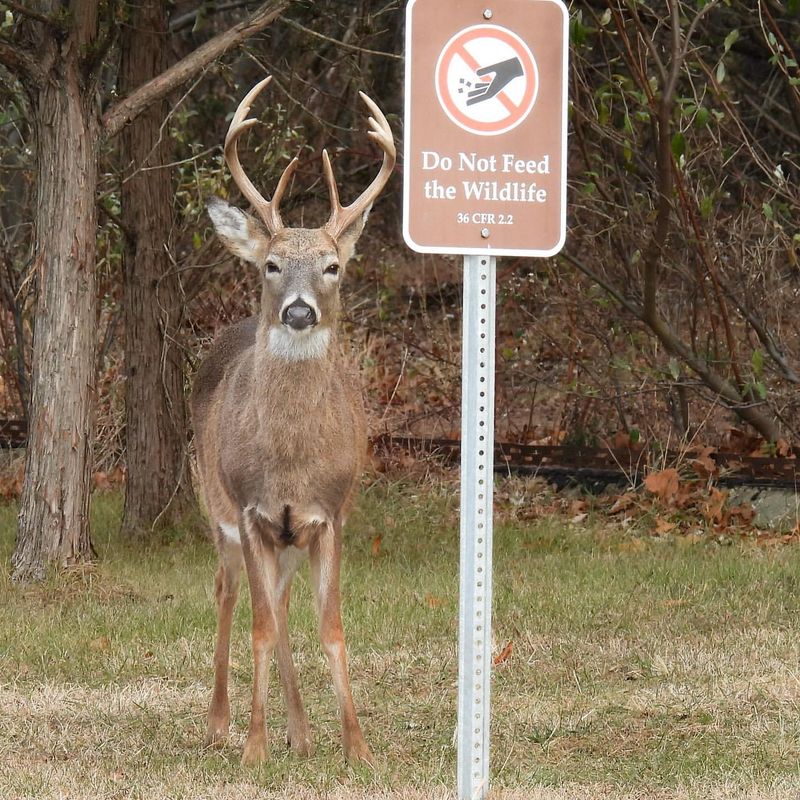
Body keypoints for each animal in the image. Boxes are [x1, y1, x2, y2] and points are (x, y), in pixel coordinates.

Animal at [191, 76, 394, 767]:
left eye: (333, 265)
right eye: (272, 264)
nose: (300, 311)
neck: (289, 462)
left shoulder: (329, 513)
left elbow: (330, 628)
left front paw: (357, 746)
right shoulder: (252, 510)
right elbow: (258, 626)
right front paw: (253, 748)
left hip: (284, 539)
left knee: (279, 604)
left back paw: (301, 732)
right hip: (214, 507)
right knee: (229, 594)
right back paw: (222, 724)